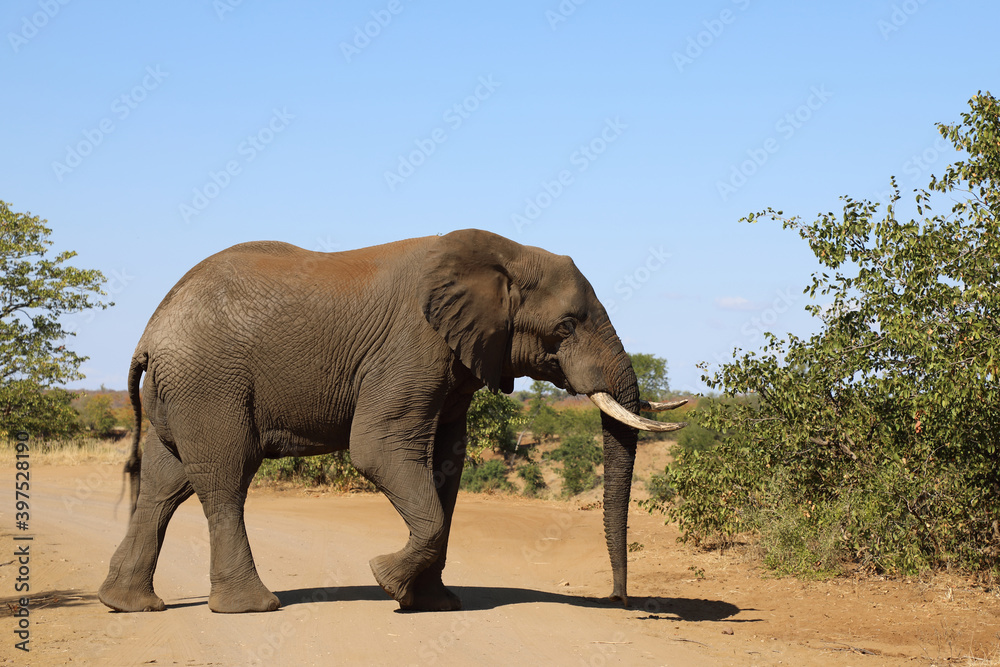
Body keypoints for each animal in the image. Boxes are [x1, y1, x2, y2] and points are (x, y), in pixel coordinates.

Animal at [98, 229, 684, 614]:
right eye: (565, 326)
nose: (620, 600)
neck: (504, 254)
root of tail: (150, 331)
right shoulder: (410, 346)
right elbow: (378, 450)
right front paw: (387, 583)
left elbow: (447, 462)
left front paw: (434, 602)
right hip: (210, 384)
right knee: (224, 478)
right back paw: (252, 607)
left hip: (181, 391)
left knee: (165, 484)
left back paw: (127, 604)